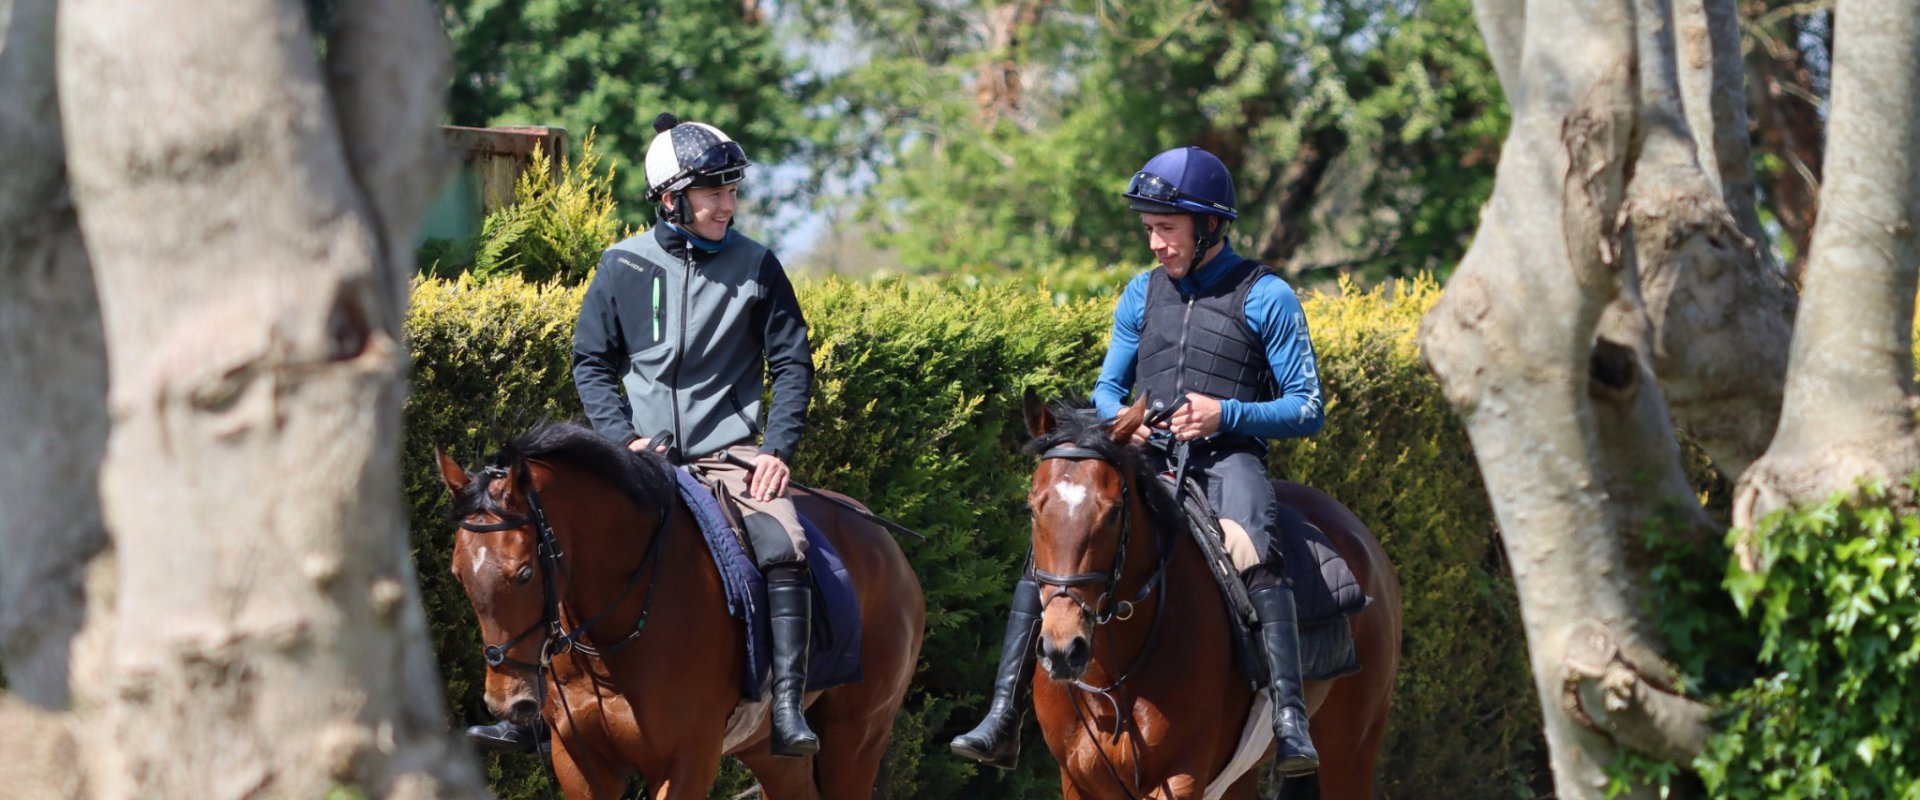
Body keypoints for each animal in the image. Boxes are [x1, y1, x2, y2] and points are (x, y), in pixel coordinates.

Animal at [437, 420, 929, 794]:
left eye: (523, 574)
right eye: (458, 573)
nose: (509, 703)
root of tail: (889, 550)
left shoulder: (687, 761)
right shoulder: (579, 760)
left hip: (857, 738)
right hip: (769, 750)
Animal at [1029, 395, 1405, 798]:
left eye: (1113, 513)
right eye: (1033, 508)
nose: (1063, 649)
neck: (1110, 684)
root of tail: (1366, 542)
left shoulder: (1179, 778)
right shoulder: (1077, 780)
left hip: (1350, 751)